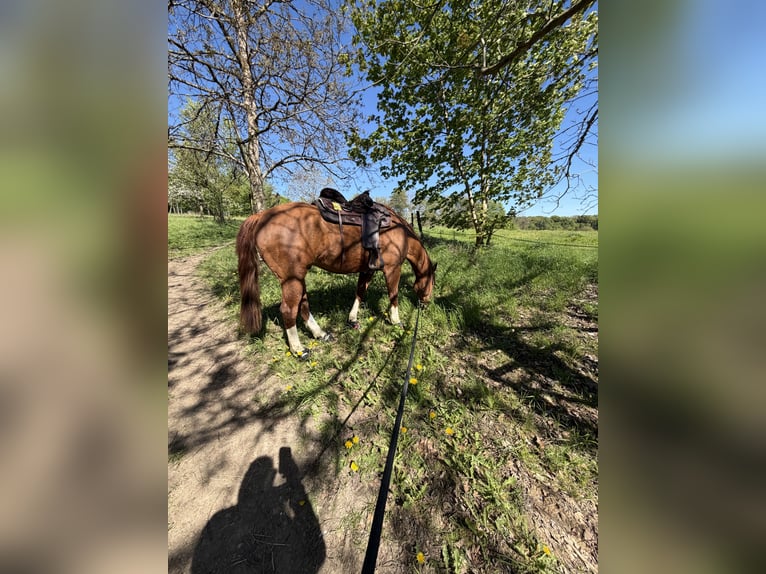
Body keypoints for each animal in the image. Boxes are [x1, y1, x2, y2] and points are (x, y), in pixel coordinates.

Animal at [236, 201, 437, 357]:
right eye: (431, 284)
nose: (426, 304)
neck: (400, 230)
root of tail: (261, 216)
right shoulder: (392, 269)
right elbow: (393, 295)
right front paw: (396, 321)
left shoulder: (367, 270)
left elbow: (360, 293)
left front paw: (353, 319)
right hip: (291, 279)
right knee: (288, 309)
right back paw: (299, 350)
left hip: (298, 278)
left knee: (303, 305)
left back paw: (320, 334)